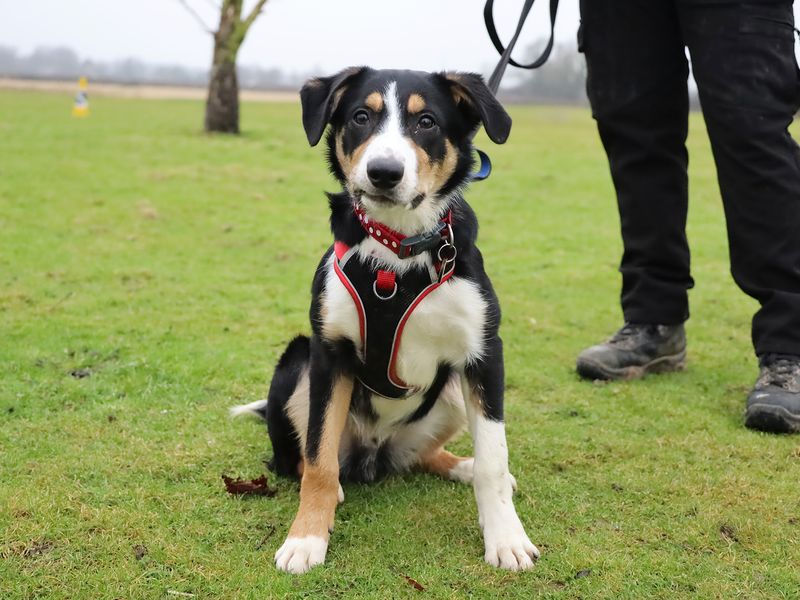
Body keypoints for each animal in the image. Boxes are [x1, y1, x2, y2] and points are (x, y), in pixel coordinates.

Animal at [234, 68, 540, 576]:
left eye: (427, 122)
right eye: (361, 116)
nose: (383, 172)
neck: (397, 251)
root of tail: (374, 453)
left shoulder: (483, 354)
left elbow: (494, 460)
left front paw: (507, 539)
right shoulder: (329, 353)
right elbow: (317, 459)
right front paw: (306, 538)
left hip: (450, 393)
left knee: (427, 456)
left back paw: (462, 465)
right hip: (299, 362)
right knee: (299, 459)